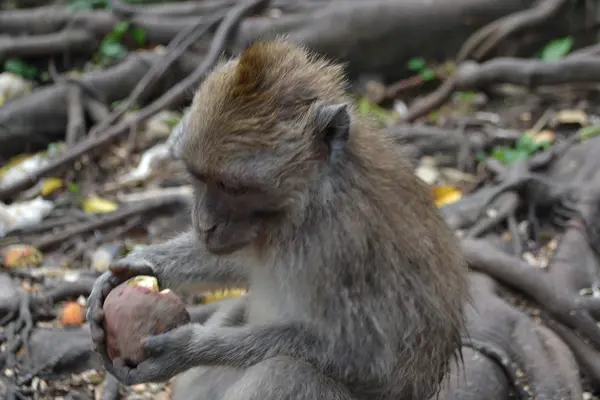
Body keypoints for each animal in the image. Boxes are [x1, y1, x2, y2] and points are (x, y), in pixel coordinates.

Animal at [86, 38, 468, 400]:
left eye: (235, 187)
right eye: (199, 177)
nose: (205, 224)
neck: (308, 203)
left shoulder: (339, 245)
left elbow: (367, 358)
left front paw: (186, 348)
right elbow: (239, 262)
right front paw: (138, 264)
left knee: (287, 373)